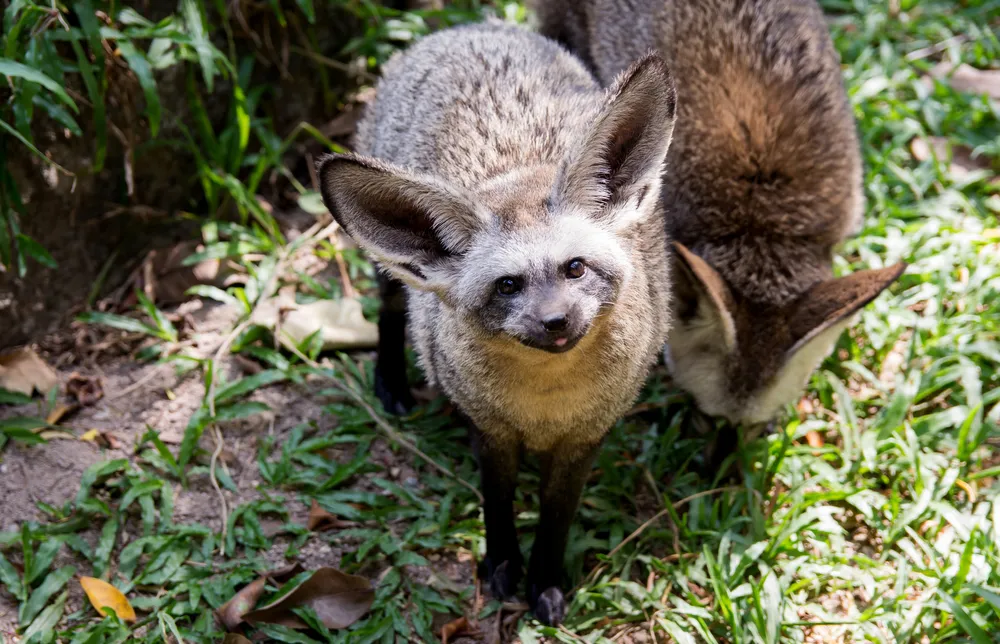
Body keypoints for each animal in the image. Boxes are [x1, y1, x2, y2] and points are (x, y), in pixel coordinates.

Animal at [317, 22, 677, 625]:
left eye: (574, 268)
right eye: (508, 285)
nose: (556, 321)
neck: (545, 405)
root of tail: (466, 27)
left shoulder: (586, 437)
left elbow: (556, 517)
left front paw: (546, 580)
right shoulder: (492, 431)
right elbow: (497, 503)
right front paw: (504, 564)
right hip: (392, 278)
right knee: (389, 311)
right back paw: (391, 381)